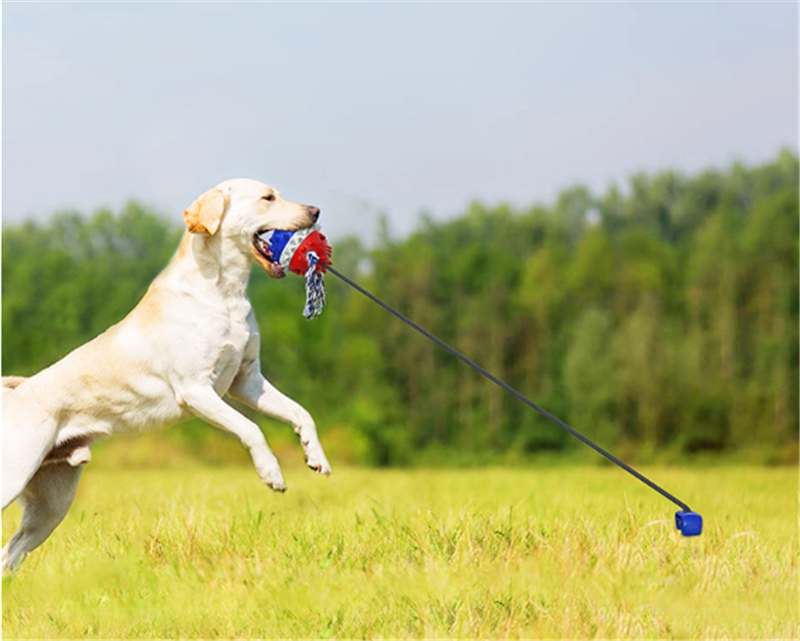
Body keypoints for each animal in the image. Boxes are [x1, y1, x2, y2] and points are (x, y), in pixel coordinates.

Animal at [0, 179, 332, 568]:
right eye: (267, 198)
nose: (315, 211)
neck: (224, 291)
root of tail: (12, 395)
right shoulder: (197, 390)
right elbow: (251, 429)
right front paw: (272, 474)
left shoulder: (247, 381)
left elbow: (301, 413)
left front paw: (316, 457)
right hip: (15, 475)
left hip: (52, 505)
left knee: (10, 552)